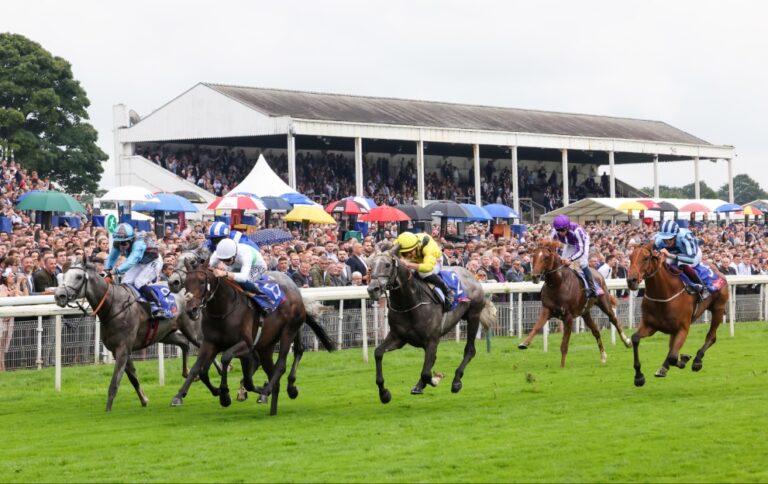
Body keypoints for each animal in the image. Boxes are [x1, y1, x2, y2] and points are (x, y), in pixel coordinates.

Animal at [54, 258, 213, 412]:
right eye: (64, 275)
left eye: (79, 276)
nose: (59, 295)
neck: (113, 306)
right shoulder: (117, 350)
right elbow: (133, 377)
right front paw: (144, 400)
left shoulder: (123, 348)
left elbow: (115, 382)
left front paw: (108, 410)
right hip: (165, 334)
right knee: (184, 343)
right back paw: (189, 373)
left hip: (192, 331)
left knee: (202, 345)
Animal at [170, 264, 334, 416]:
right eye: (186, 283)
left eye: (202, 282)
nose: (191, 310)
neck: (223, 310)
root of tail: (295, 290)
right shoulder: (210, 343)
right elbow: (198, 369)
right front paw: (179, 395)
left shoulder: (246, 345)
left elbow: (225, 358)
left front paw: (224, 395)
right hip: (266, 345)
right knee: (272, 370)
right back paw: (272, 397)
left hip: (288, 332)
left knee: (284, 362)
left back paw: (270, 392)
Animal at [368, 244, 498, 402]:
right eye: (370, 265)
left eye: (387, 265)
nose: (372, 289)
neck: (409, 303)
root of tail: (471, 274)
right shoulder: (398, 338)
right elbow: (378, 353)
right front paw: (384, 393)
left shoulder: (432, 340)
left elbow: (426, 373)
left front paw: (434, 379)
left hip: (473, 316)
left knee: (470, 350)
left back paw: (456, 381)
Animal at [520, 240, 632, 368]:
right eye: (533, 256)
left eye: (546, 257)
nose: (535, 276)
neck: (557, 284)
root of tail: (597, 272)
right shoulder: (546, 309)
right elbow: (537, 327)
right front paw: (524, 343)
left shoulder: (568, 317)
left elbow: (564, 345)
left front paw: (562, 366)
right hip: (585, 312)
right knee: (596, 331)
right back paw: (603, 356)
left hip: (604, 303)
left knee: (614, 319)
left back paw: (627, 341)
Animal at [628, 242, 728, 386]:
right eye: (630, 258)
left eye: (646, 258)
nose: (631, 280)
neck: (663, 294)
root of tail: (717, 269)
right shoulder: (650, 326)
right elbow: (635, 338)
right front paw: (639, 376)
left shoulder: (683, 328)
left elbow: (673, 357)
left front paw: (685, 359)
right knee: (672, 346)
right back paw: (664, 367)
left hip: (718, 309)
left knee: (711, 337)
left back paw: (697, 360)